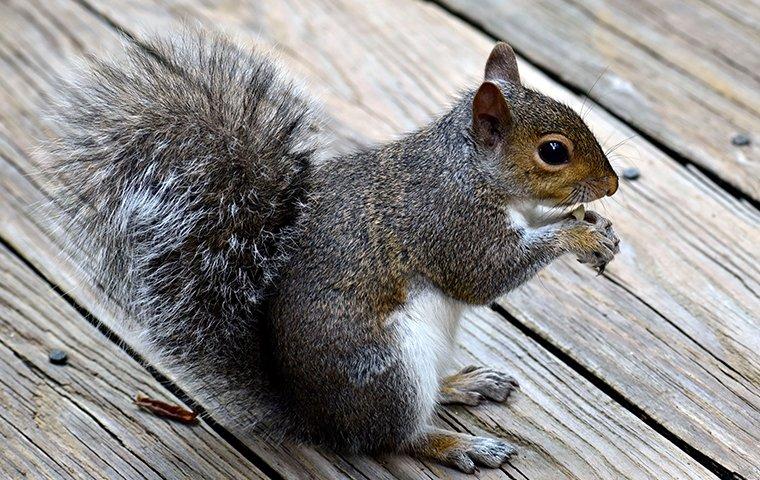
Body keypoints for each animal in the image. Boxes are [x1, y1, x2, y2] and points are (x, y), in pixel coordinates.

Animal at [48, 31, 619, 473]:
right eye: (553, 151)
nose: (612, 185)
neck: (470, 169)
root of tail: (311, 413)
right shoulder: (449, 223)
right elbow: (484, 276)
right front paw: (578, 236)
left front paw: (594, 227)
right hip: (386, 370)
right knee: (390, 438)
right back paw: (458, 443)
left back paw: (465, 382)